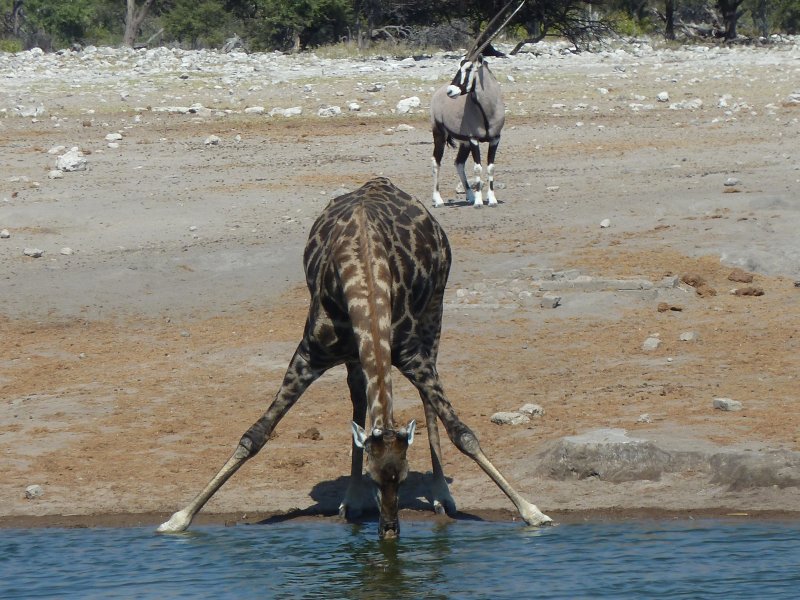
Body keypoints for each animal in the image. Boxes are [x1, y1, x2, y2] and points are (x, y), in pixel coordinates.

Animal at [159, 178, 552, 540]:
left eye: (403, 476)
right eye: (376, 479)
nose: (390, 530)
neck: (364, 272)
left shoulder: (411, 353)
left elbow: (463, 433)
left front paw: (532, 512)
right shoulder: (308, 355)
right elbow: (255, 435)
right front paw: (178, 519)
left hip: (434, 309)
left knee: (423, 400)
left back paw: (440, 493)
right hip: (355, 354)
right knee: (359, 397)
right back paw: (350, 498)